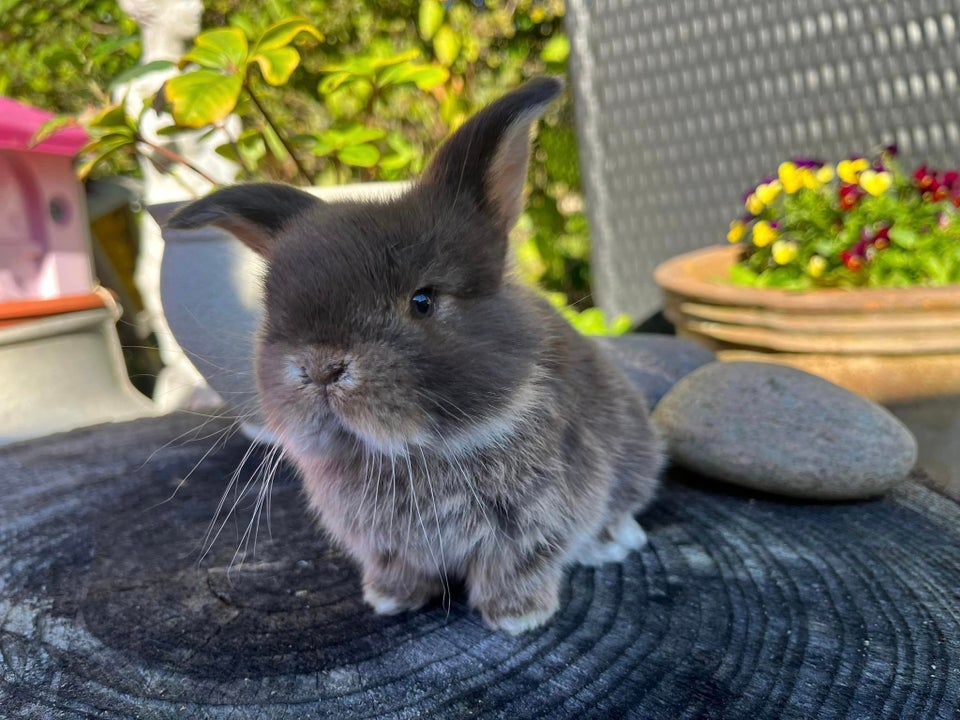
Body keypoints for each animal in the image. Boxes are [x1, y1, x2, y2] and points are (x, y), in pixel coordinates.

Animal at [167, 76, 660, 632]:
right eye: (273, 313)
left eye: (422, 301)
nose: (321, 368)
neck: (408, 452)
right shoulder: (383, 545)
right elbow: (397, 570)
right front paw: (388, 600)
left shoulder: (537, 524)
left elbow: (519, 569)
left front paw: (518, 618)